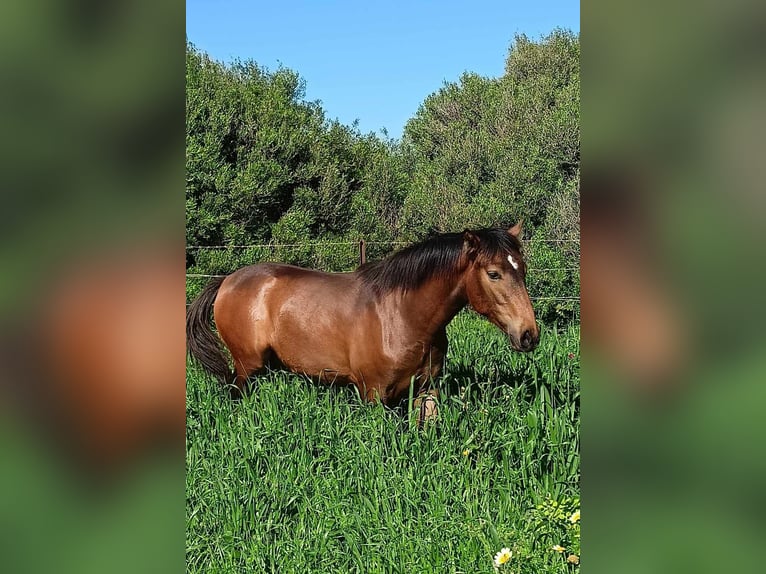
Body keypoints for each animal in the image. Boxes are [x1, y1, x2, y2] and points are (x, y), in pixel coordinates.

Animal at [188, 225, 540, 410]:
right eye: (494, 273)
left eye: (522, 269)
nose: (529, 334)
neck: (402, 316)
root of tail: (227, 281)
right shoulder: (374, 395)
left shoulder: (426, 389)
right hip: (246, 368)